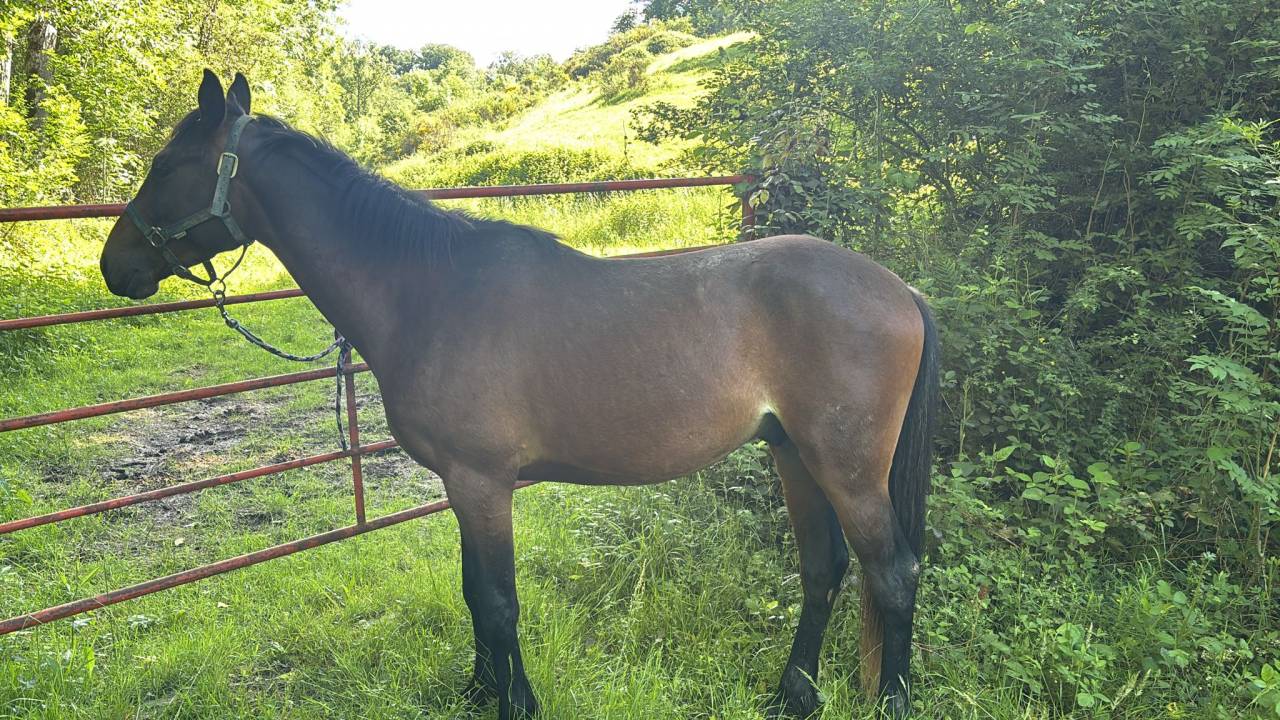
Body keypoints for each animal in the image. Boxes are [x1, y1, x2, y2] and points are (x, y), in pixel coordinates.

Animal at [99, 71, 938, 719]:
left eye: (166, 164)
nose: (115, 265)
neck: (429, 290)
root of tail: (899, 290)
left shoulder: (482, 482)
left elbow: (500, 602)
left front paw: (516, 702)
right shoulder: (461, 484)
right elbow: (476, 593)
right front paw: (478, 692)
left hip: (847, 468)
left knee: (893, 574)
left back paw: (886, 700)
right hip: (793, 453)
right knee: (823, 568)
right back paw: (790, 695)